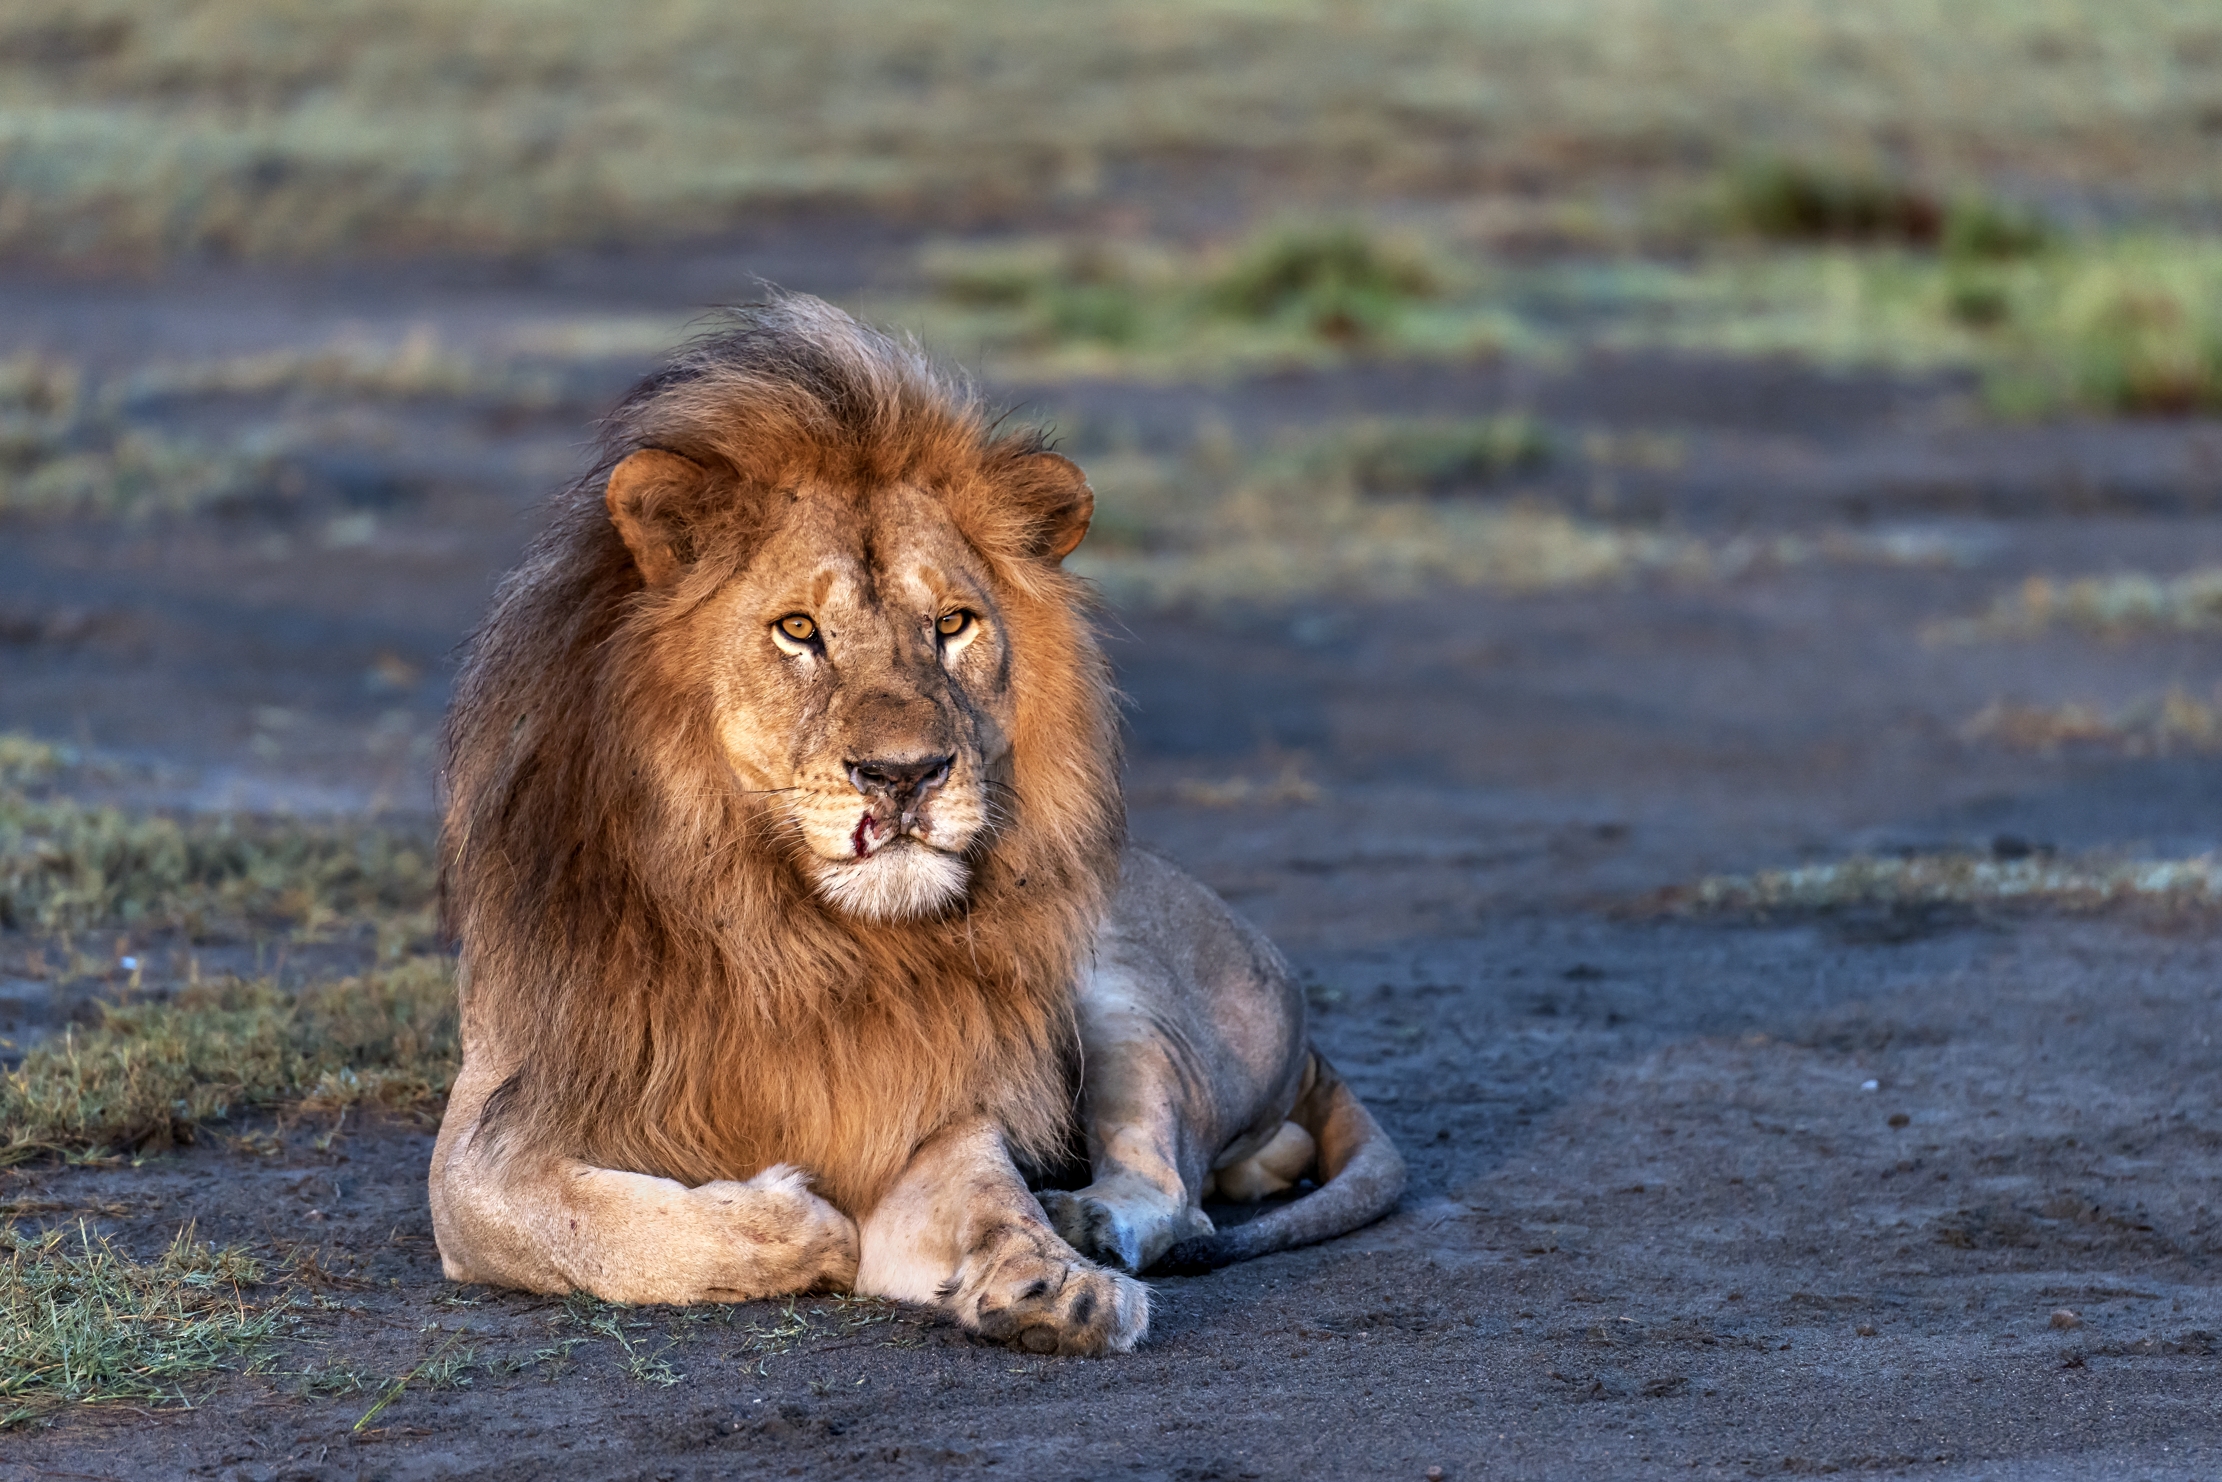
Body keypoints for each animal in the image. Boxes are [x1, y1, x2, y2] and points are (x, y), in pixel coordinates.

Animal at [428, 294, 1404, 1355]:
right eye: (799, 630)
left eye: (952, 624)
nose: (905, 776)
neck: (796, 937)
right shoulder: (486, 1141)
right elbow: (592, 1225)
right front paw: (798, 1227)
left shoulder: (930, 1106)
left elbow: (986, 1197)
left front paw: (1055, 1283)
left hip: (1121, 983)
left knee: (1175, 1185)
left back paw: (1085, 1219)